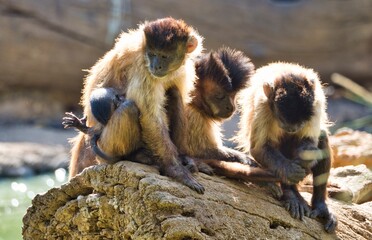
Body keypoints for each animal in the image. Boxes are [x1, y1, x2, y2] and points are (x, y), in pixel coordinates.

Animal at [68, 16, 205, 193]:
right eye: (152, 55)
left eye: (164, 57)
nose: (155, 66)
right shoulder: (143, 68)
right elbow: (150, 119)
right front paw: (176, 170)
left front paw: (184, 158)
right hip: (103, 147)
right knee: (129, 109)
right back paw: (132, 156)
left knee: (173, 93)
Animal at [235, 62, 338, 232]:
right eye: (283, 119)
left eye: (299, 123)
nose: (292, 128)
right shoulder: (263, 103)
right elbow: (260, 148)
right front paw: (290, 171)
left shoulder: (316, 103)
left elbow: (310, 142)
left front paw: (305, 159)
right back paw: (291, 194)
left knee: (321, 136)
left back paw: (319, 206)